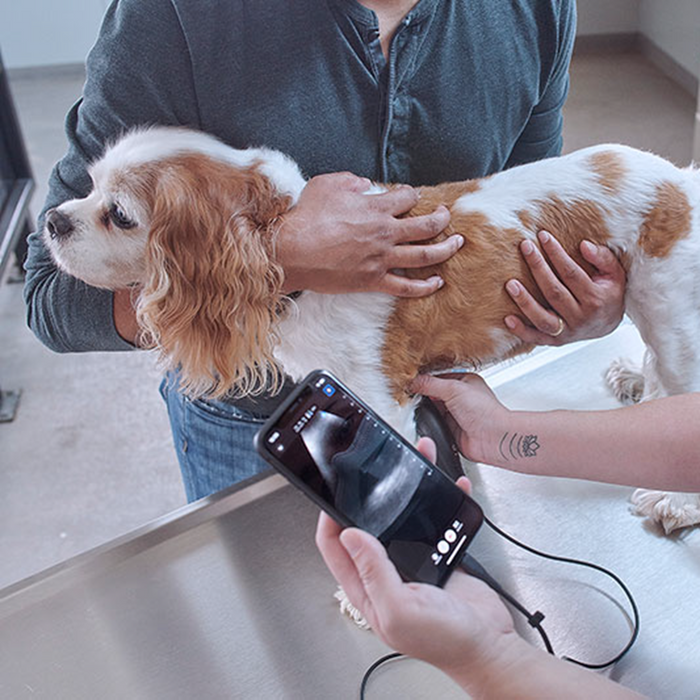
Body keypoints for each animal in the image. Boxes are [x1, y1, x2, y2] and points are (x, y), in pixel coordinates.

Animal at [43, 127, 700, 532]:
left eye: (119, 215)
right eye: (88, 188)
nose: (51, 220)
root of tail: (681, 182)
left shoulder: (378, 396)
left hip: (673, 313)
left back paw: (674, 498)